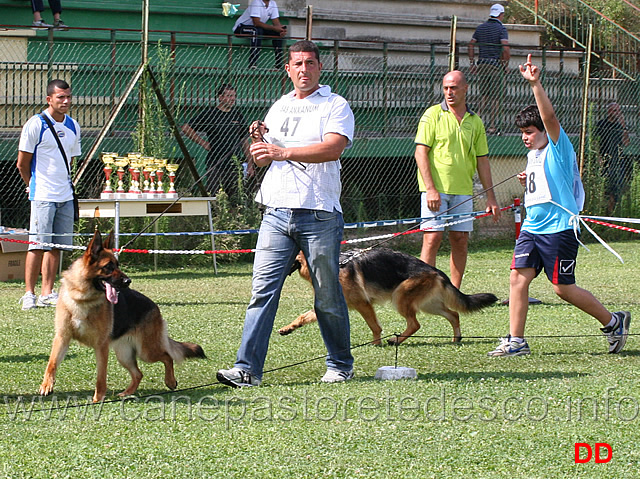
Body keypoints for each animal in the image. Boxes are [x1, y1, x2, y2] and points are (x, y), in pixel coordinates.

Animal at [39, 231, 205, 404]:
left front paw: (98, 398)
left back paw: (170, 382)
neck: (83, 298)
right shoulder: (62, 338)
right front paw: (47, 385)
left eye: (118, 265)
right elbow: (51, 363)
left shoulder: (101, 347)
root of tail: (155, 307)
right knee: (139, 374)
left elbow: (101, 376)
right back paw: (127, 393)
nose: (128, 281)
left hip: (146, 351)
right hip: (124, 355)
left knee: (167, 357)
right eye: (108, 267)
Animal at [278, 249, 498, 346]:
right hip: (429, 305)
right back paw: (456, 338)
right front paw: (288, 328)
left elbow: (374, 326)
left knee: (415, 324)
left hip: (399, 297)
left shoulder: (363, 304)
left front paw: (376, 344)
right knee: (453, 314)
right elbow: (303, 316)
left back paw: (396, 340)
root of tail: (435, 270)